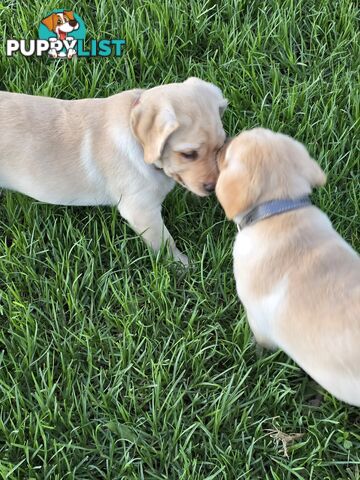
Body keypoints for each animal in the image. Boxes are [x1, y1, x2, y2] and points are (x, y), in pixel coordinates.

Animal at [0, 79, 226, 266]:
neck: (138, 142)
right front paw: (181, 264)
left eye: (220, 147)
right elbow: (164, 241)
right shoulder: (141, 211)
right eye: (188, 154)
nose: (213, 187)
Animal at [215, 127, 360, 404]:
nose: (220, 143)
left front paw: (254, 355)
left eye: (227, 152)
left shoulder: (257, 320)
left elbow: (260, 343)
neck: (281, 211)